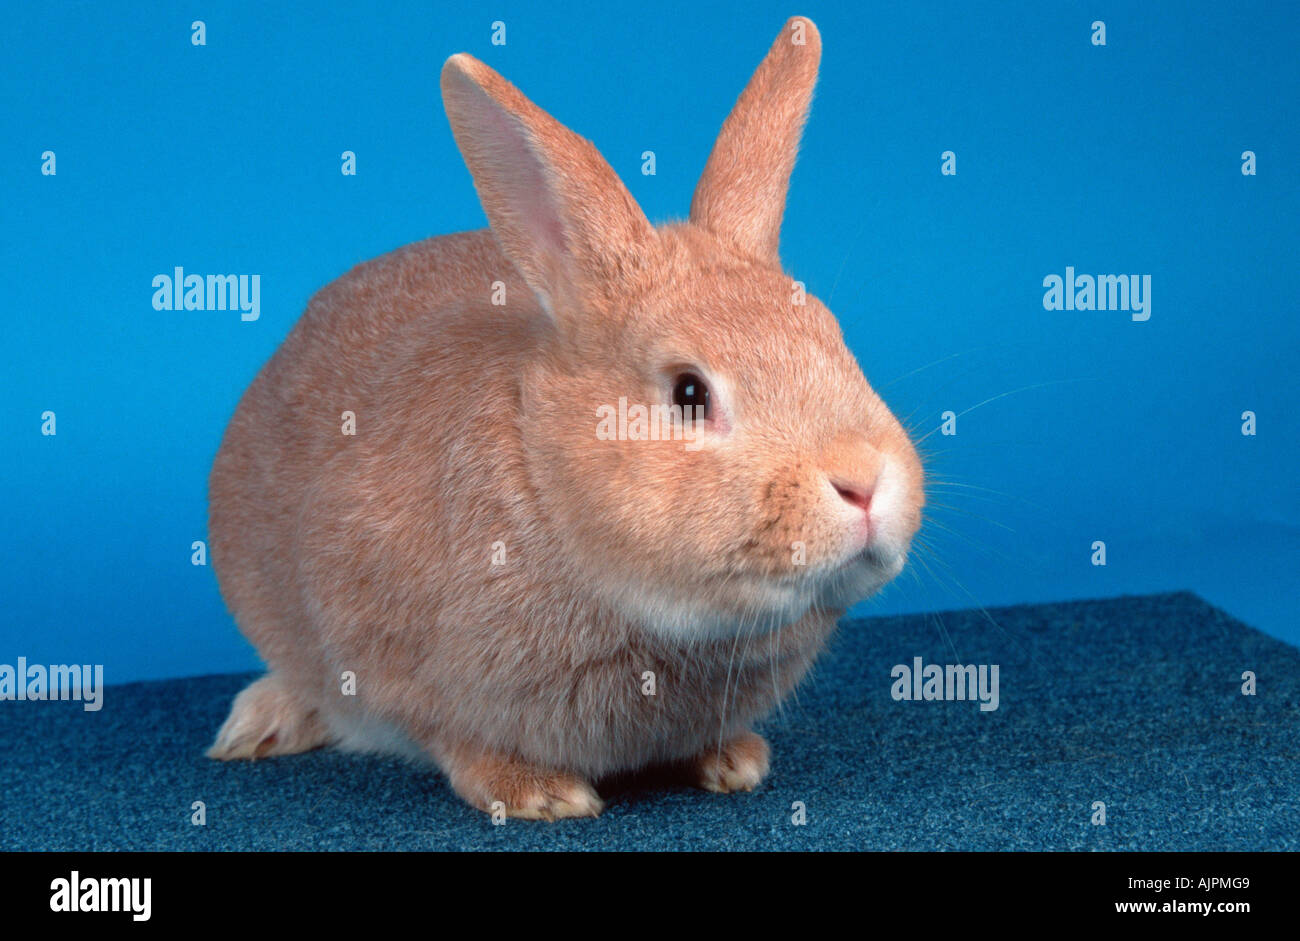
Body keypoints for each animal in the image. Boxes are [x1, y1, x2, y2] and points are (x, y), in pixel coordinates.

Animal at [206, 15, 924, 820]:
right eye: (688, 393)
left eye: (835, 339)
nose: (864, 482)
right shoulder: (390, 653)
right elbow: (453, 736)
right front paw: (539, 794)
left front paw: (735, 760)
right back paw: (256, 728)